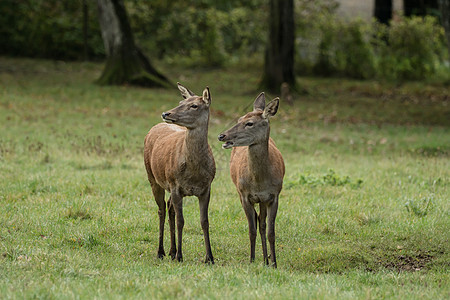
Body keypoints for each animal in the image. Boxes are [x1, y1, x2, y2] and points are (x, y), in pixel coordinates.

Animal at [143, 83, 215, 264]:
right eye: (181, 102)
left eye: (194, 105)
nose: (165, 113)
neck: (194, 173)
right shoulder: (175, 184)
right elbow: (181, 221)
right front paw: (180, 256)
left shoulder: (206, 188)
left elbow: (204, 221)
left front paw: (210, 257)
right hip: (153, 178)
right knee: (161, 209)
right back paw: (161, 251)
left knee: (169, 208)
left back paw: (172, 250)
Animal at [216, 92, 284, 268]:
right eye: (239, 119)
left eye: (250, 123)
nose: (222, 135)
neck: (259, 181)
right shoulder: (245, 195)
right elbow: (251, 230)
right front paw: (252, 260)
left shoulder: (274, 195)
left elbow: (271, 231)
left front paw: (274, 263)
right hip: (239, 192)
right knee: (257, 220)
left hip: (262, 200)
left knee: (262, 222)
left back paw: (266, 259)